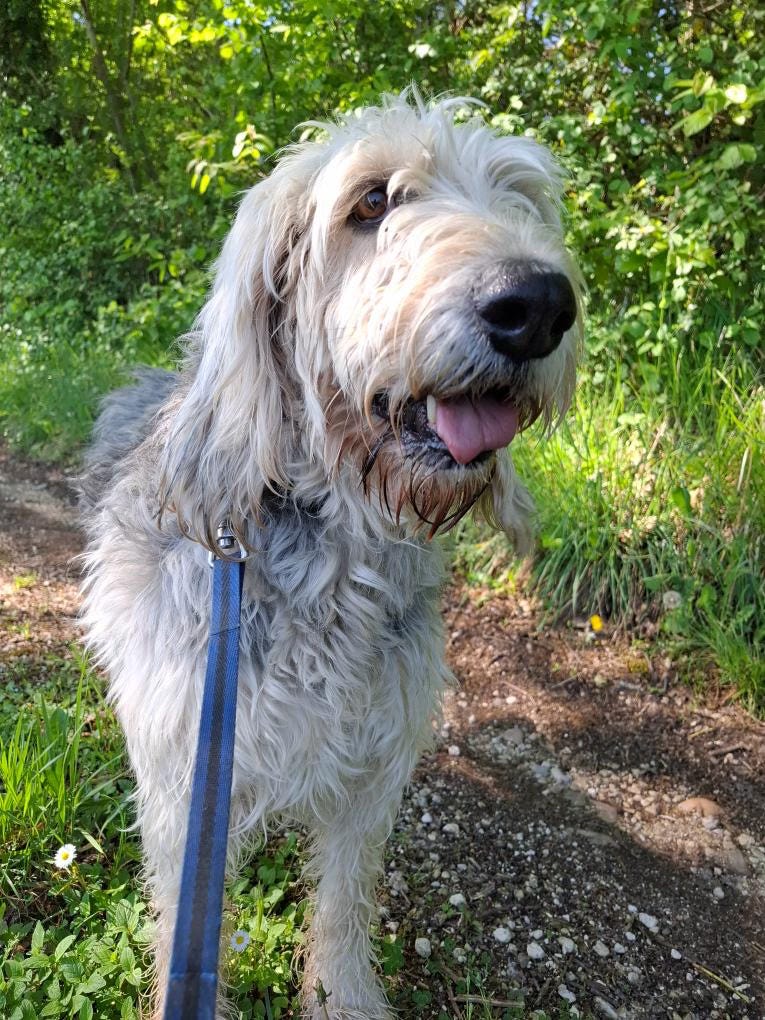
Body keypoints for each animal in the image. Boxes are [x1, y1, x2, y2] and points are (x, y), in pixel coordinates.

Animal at [79, 90, 581, 1019]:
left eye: (519, 196)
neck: (336, 556)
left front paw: (344, 996)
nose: (536, 305)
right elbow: (181, 918)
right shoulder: (187, 782)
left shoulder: (371, 767)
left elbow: (345, 900)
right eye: (371, 202)